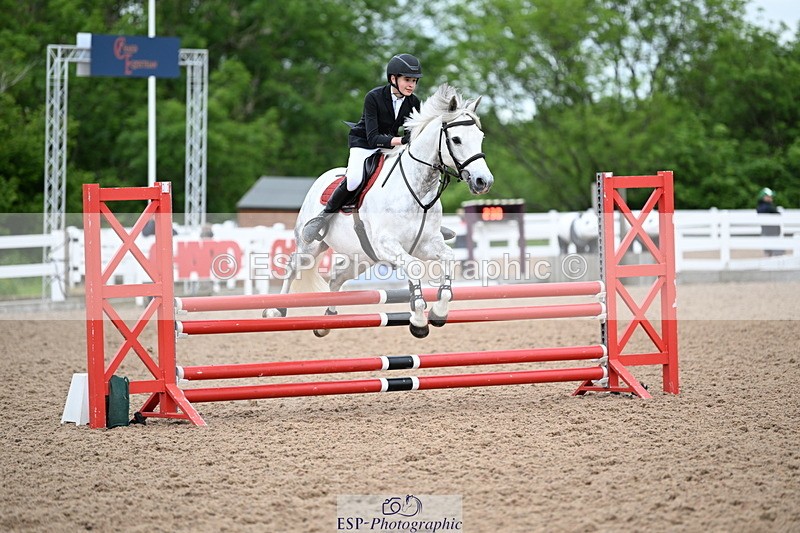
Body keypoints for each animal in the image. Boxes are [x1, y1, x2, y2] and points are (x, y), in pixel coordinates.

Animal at [267, 84, 494, 338]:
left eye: (480, 137)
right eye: (456, 139)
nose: (483, 181)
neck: (417, 189)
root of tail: (323, 178)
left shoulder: (426, 244)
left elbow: (448, 259)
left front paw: (438, 313)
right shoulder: (387, 244)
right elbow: (414, 268)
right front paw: (418, 321)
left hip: (363, 256)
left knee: (337, 277)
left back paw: (328, 320)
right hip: (311, 246)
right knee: (293, 267)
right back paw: (277, 310)